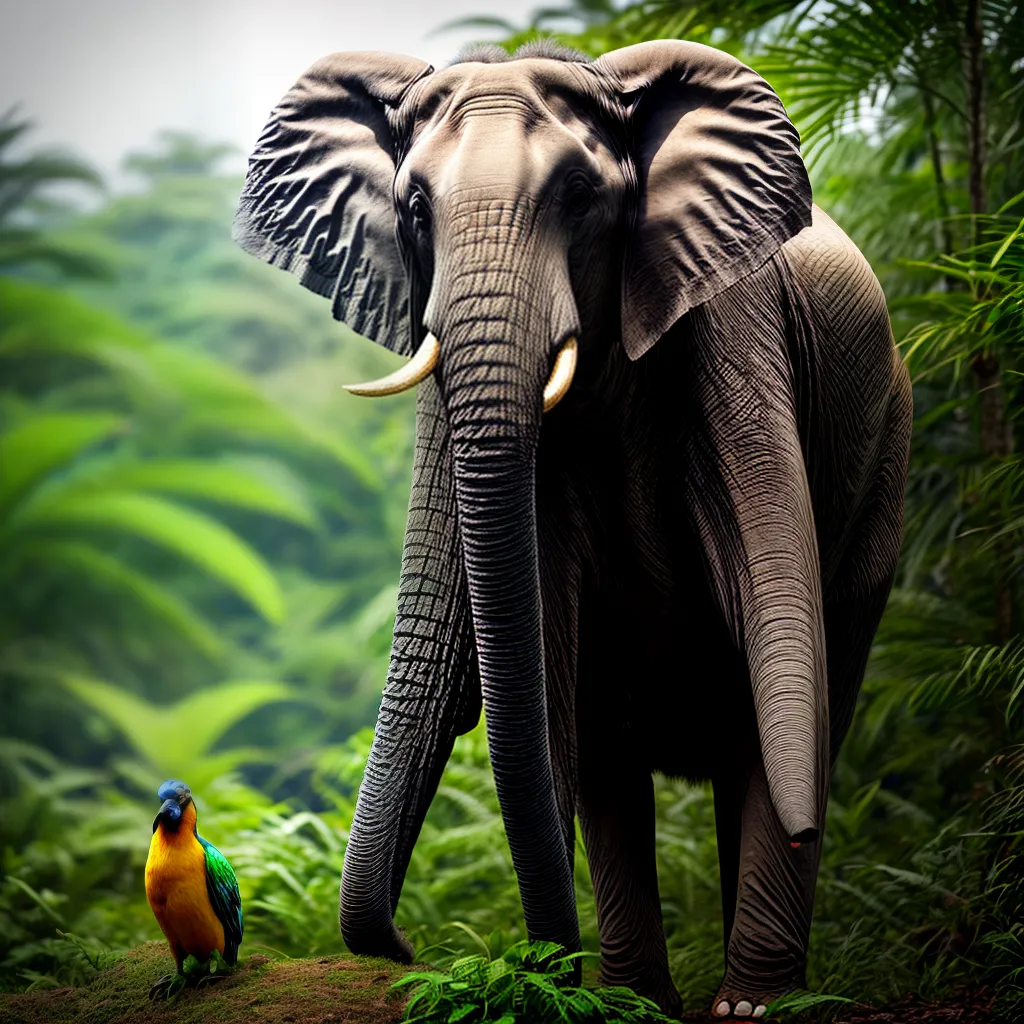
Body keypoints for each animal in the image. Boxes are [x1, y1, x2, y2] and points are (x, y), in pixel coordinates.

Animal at [234, 38, 913, 1020]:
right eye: (413, 208)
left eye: (580, 197)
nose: (402, 947)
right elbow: (560, 669)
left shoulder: (738, 337)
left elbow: (780, 636)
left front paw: (749, 1006)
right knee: (609, 734)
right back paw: (637, 1001)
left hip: (887, 452)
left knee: (801, 679)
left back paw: (749, 998)